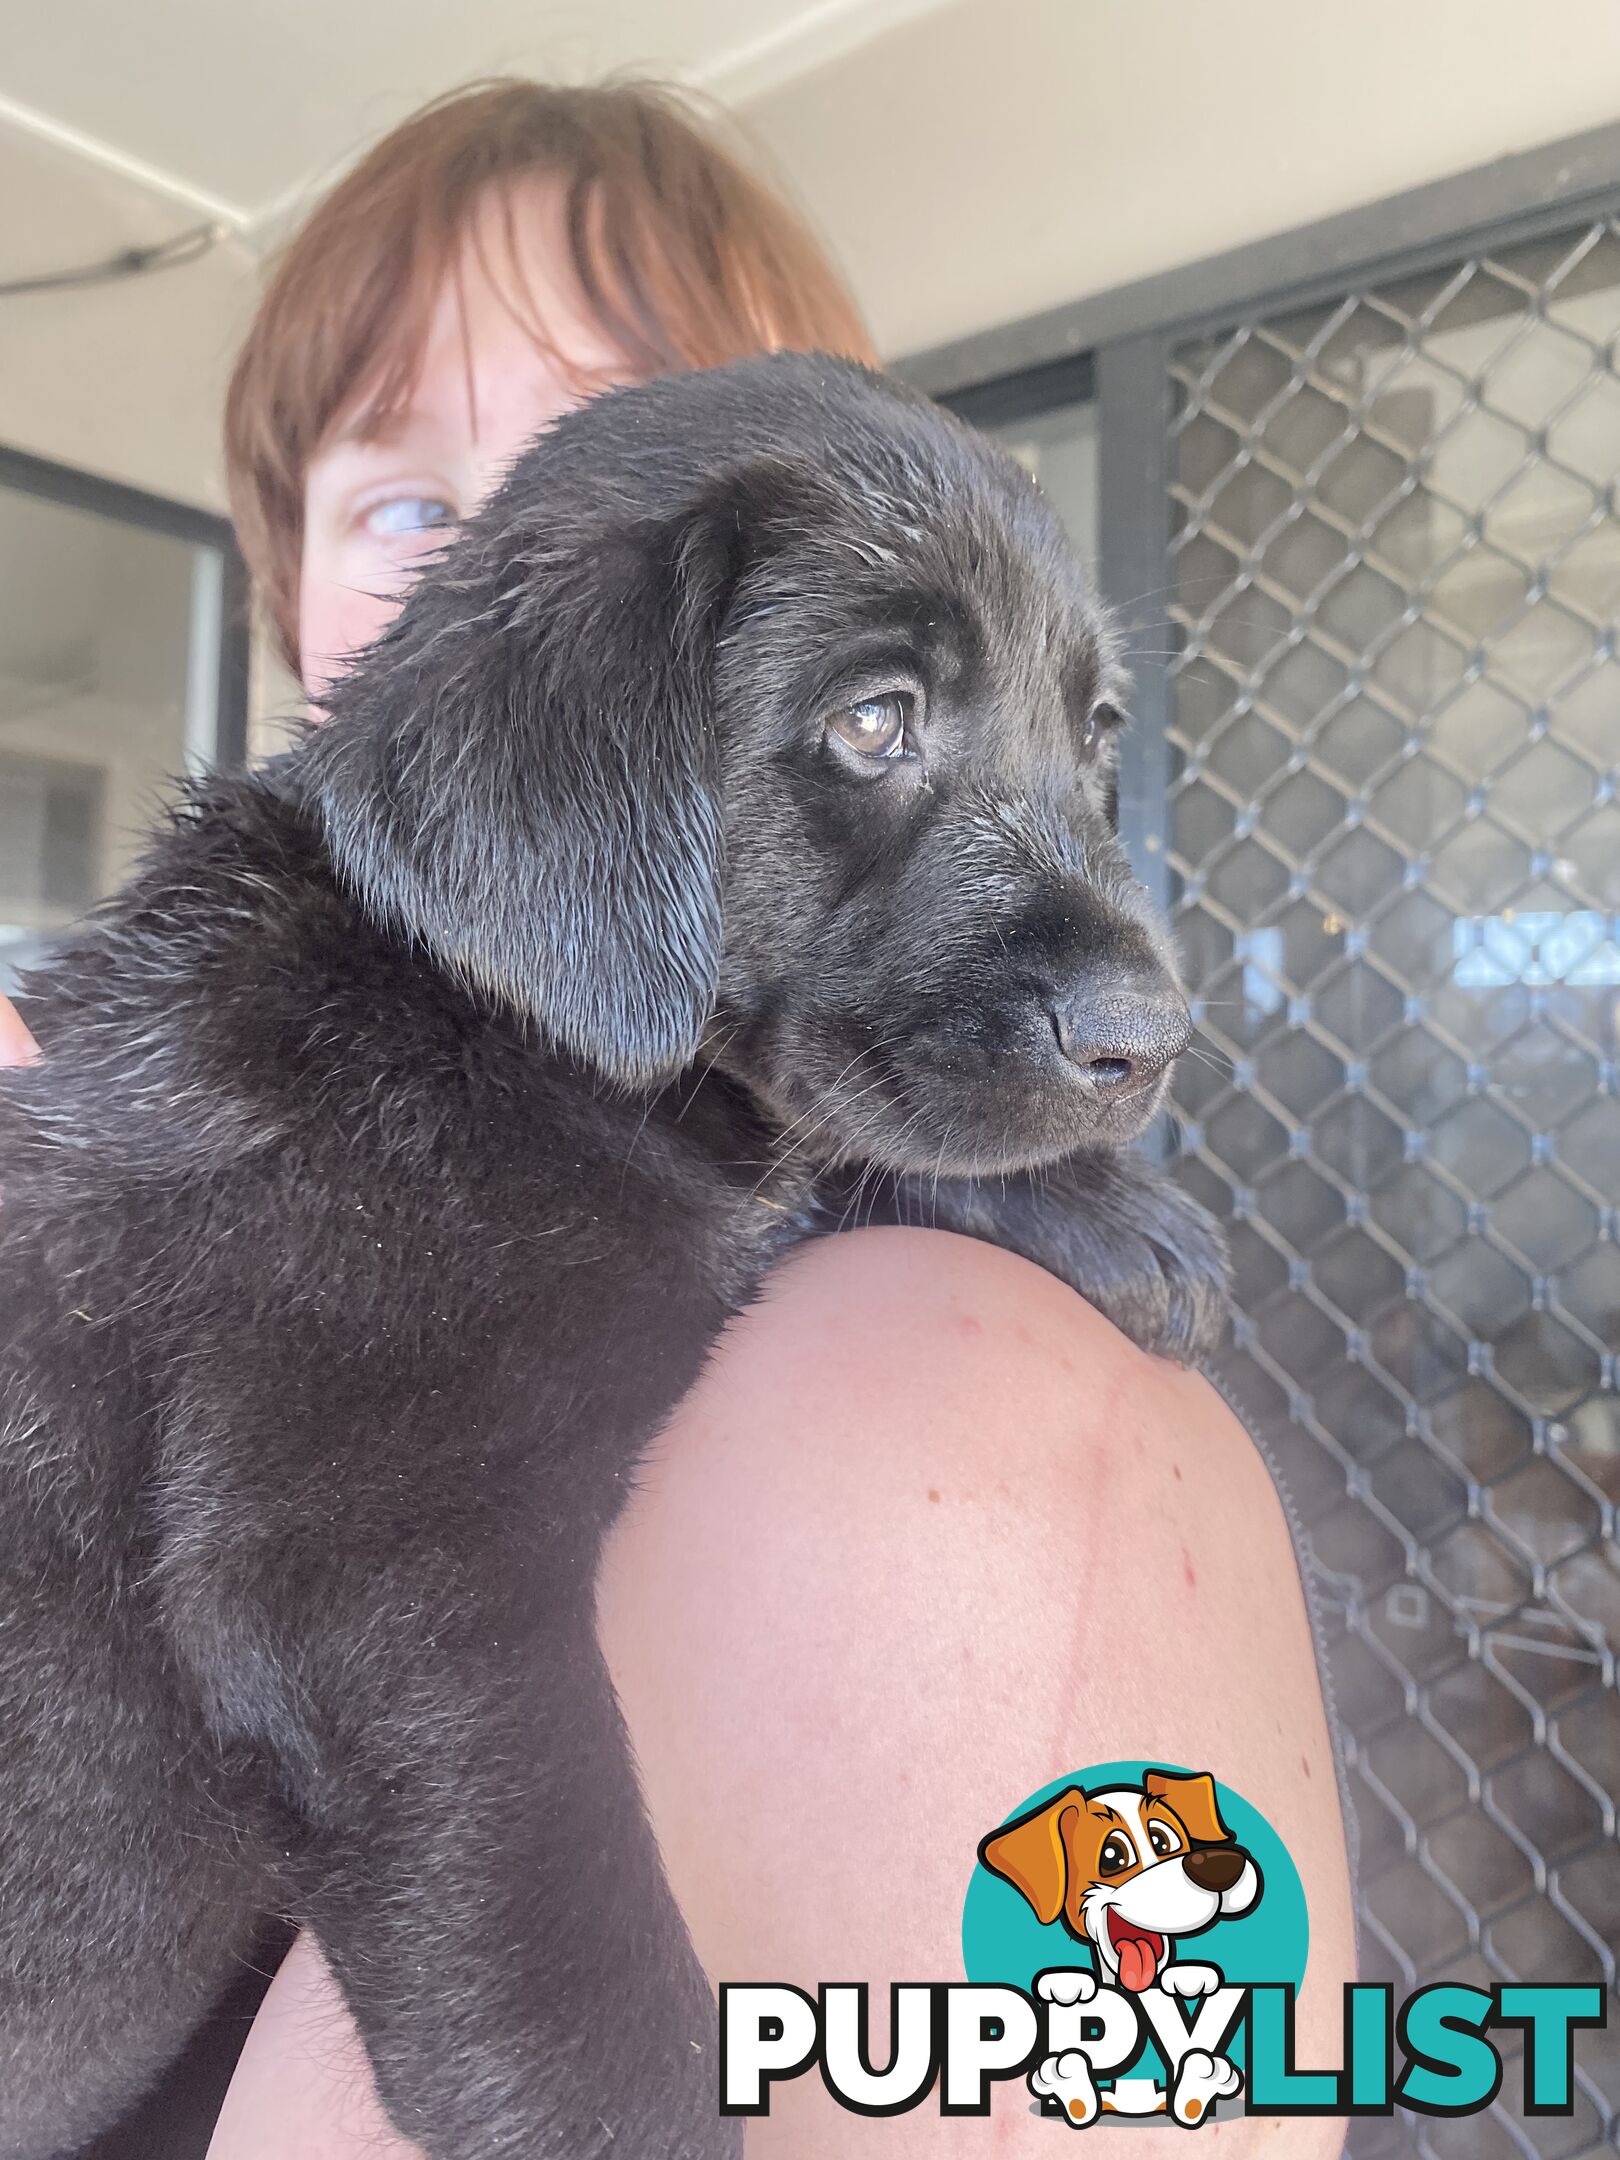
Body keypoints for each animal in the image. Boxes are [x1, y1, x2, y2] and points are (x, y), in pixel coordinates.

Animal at [0, 345, 1218, 2151]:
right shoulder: (368, 1580)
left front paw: (1103, 1209)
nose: (1152, 1039)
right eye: (874, 719)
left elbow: (822, 1157)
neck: (476, 1020)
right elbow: (577, 1990)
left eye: (1098, 732)